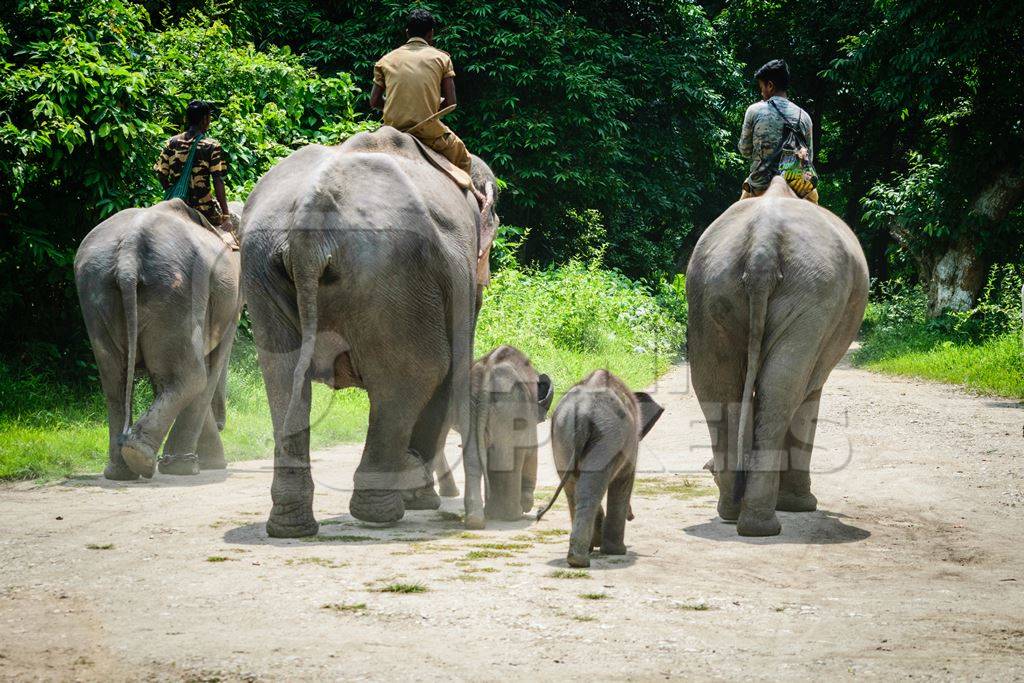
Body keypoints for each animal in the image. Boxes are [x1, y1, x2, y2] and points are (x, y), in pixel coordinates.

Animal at [74, 198, 243, 481]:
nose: (223, 424)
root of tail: (128, 255)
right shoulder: (230, 301)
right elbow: (211, 367)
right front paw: (208, 465)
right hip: (176, 292)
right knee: (193, 376)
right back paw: (142, 459)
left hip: (96, 289)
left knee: (115, 381)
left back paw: (123, 469)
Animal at [237, 125, 497, 536]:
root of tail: (310, 231)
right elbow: (451, 370)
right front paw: (421, 497)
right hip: (393, 274)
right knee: (418, 373)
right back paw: (380, 513)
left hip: (261, 267)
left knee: (281, 377)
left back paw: (291, 525)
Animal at [464, 344, 552, 528]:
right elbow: (532, 451)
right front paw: (527, 505)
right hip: (511, 408)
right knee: (511, 456)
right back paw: (511, 515)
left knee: (473, 457)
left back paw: (477, 520)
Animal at [544, 370, 663, 569]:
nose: (632, 516)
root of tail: (582, 413)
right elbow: (623, 481)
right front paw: (616, 551)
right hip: (608, 437)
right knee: (590, 490)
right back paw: (582, 560)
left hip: (562, 435)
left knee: (573, 489)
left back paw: (579, 555)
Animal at [688, 178, 864, 540]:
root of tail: (762, 247)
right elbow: (809, 394)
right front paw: (800, 505)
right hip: (813, 292)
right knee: (785, 388)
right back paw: (762, 524)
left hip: (711, 285)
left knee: (716, 384)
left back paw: (733, 511)